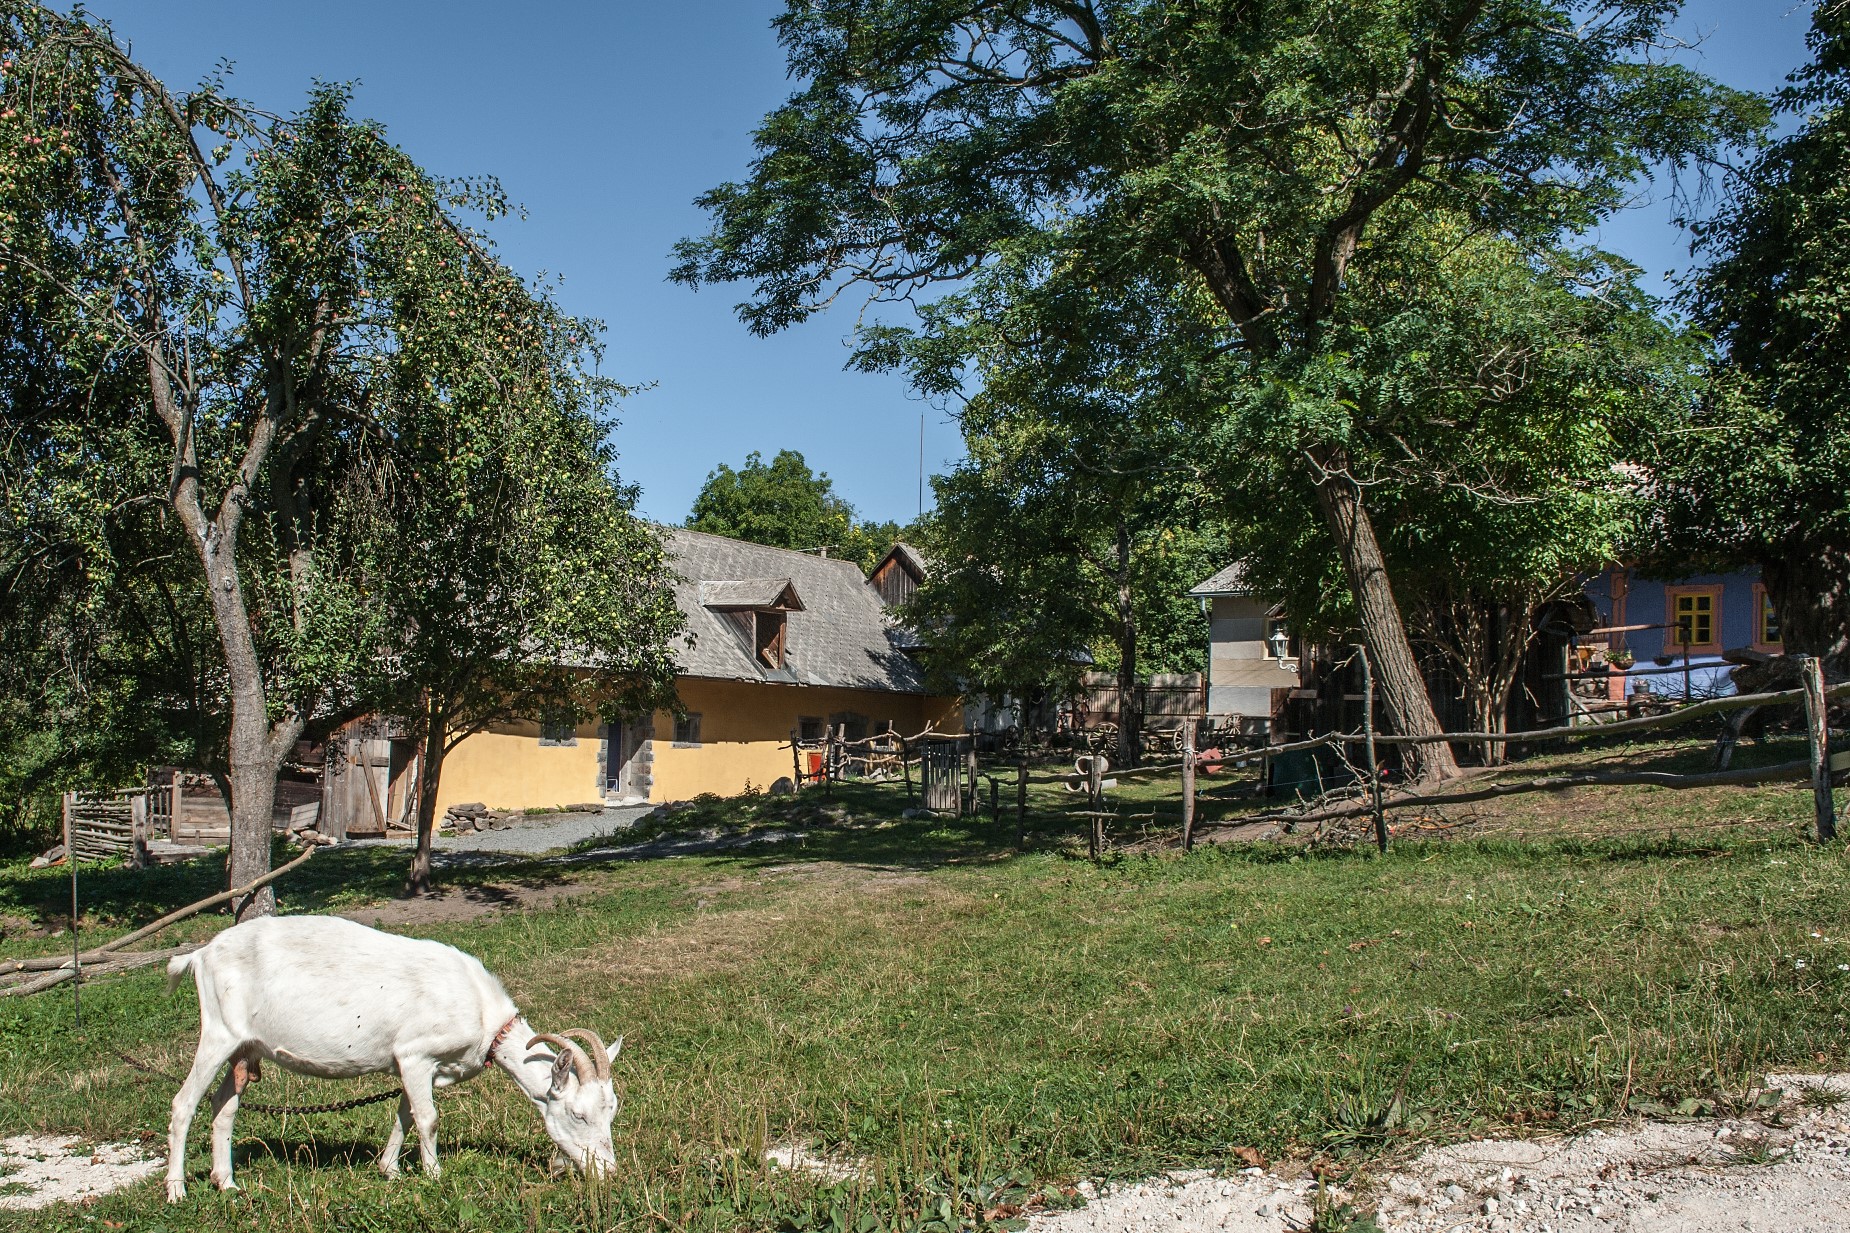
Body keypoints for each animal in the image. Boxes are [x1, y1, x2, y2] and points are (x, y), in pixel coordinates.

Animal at [163, 914, 621, 1202]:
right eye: (578, 1115)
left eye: (611, 1112)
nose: (609, 1171)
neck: (483, 1016)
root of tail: (201, 954)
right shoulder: (416, 1052)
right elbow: (428, 1118)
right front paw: (435, 1176)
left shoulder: (419, 1065)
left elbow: (405, 1114)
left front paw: (390, 1170)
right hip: (218, 1032)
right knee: (184, 1104)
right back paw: (176, 1190)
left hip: (244, 1047)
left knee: (224, 1105)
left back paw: (226, 1183)